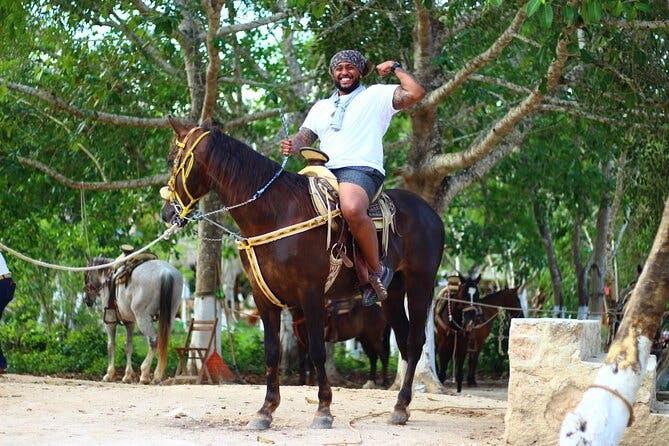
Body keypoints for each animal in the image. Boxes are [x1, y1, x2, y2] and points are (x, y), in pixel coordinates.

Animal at [83, 256, 183, 386]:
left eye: (85, 275)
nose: (86, 299)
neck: (108, 278)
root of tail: (165, 272)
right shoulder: (130, 323)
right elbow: (128, 346)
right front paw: (127, 376)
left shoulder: (110, 322)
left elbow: (111, 345)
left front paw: (109, 374)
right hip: (169, 317)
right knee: (162, 341)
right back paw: (157, 375)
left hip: (143, 318)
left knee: (153, 341)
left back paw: (145, 374)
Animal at [160, 117, 444, 428]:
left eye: (173, 159)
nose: (166, 213)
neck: (276, 213)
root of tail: (430, 214)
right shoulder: (263, 298)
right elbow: (272, 352)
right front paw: (266, 410)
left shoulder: (311, 293)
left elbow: (318, 350)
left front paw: (323, 409)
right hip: (392, 294)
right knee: (403, 342)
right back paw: (401, 405)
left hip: (420, 284)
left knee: (415, 342)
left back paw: (402, 404)